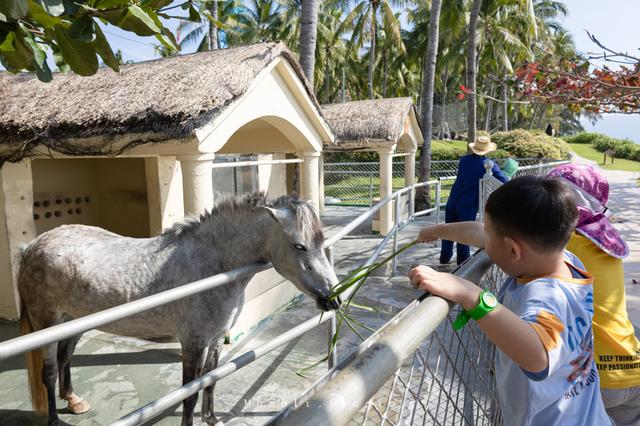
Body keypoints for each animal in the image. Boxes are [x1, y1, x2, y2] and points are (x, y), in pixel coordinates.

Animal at [18, 194, 340, 426]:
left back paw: (74, 401)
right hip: (48, 324)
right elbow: (189, 394)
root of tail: (32, 246)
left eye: (320, 243)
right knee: (49, 370)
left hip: (74, 322)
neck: (213, 264)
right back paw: (54, 419)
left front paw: (212, 420)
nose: (333, 299)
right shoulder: (193, 343)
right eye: (299, 246)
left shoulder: (214, 340)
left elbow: (210, 382)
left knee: (65, 357)